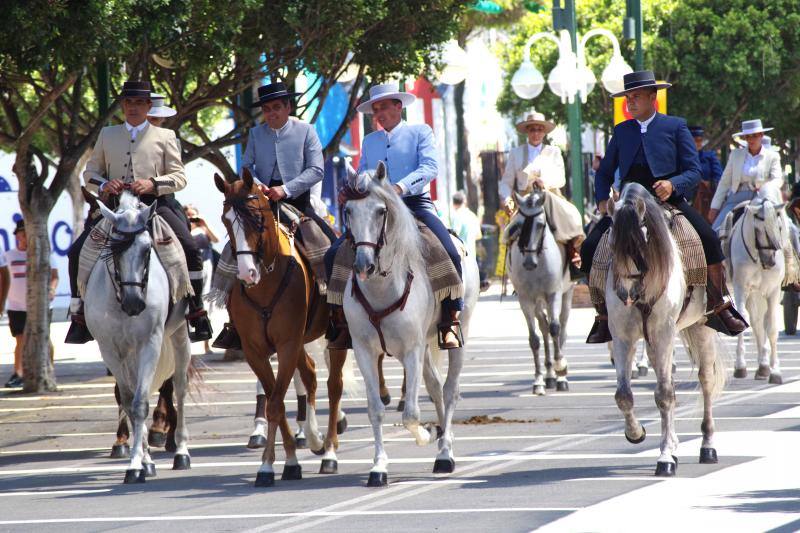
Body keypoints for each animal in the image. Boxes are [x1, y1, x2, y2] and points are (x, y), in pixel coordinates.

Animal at [85, 191, 192, 482]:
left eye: (147, 249)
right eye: (114, 249)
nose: (134, 304)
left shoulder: (150, 344)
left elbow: (140, 402)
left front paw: (135, 465)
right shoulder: (110, 350)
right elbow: (129, 401)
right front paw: (142, 461)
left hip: (179, 336)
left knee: (179, 388)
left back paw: (181, 452)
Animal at [214, 170, 348, 486]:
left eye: (256, 217)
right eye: (225, 220)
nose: (246, 273)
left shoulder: (287, 345)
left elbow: (276, 402)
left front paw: (273, 465)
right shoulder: (256, 351)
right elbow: (275, 400)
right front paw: (282, 461)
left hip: (331, 337)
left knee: (334, 386)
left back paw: (329, 452)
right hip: (299, 342)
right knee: (310, 375)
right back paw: (313, 437)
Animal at [340, 163, 478, 486]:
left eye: (381, 211)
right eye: (348, 210)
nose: (363, 265)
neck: (381, 288)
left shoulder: (411, 351)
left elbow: (411, 414)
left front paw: (426, 435)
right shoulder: (365, 352)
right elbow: (376, 410)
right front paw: (378, 467)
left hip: (456, 334)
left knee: (450, 390)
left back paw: (445, 453)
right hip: (426, 342)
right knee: (436, 387)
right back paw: (443, 439)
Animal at [510, 189, 572, 392]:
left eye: (540, 225)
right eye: (518, 225)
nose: (529, 263)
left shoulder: (554, 294)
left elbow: (555, 328)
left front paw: (561, 367)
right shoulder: (525, 300)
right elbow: (534, 339)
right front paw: (538, 380)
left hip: (567, 294)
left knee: (561, 328)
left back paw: (560, 376)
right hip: (537, 302)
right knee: (544, 327)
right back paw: (550, 375)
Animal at [608, 184, 728, 478]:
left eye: (640, 243)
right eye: (611, 244)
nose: (624, 294)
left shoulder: (663, 332)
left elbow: (664, 396)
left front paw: (664, 459)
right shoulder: (622, 336)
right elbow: (623, 395)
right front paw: (636, 433)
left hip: (701, 327)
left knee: (705, 380)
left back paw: (707, 446)